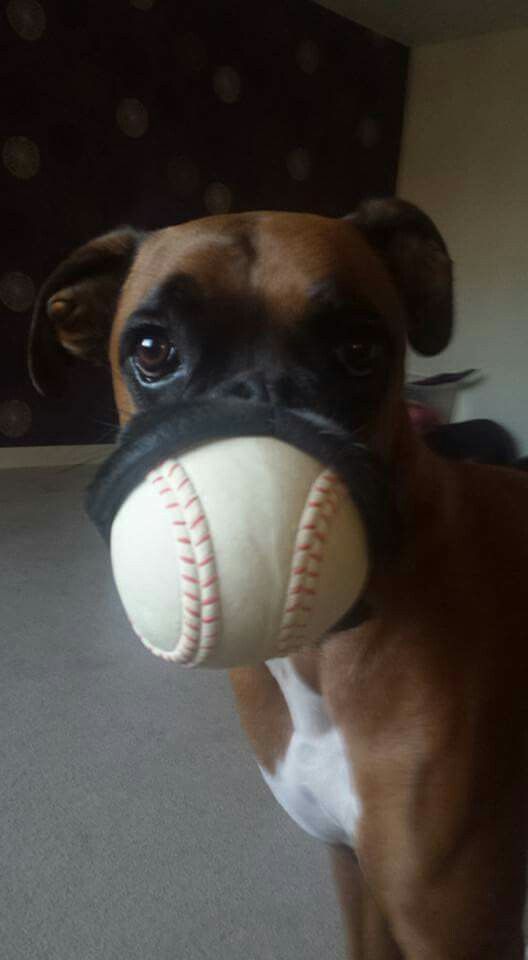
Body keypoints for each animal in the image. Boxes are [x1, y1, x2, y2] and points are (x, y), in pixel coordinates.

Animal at [27, 199, 528, 956]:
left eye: (359, 350)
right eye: (151, 350)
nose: (256, 405)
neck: (319, 663)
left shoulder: (451, 925)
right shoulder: (355, 873)